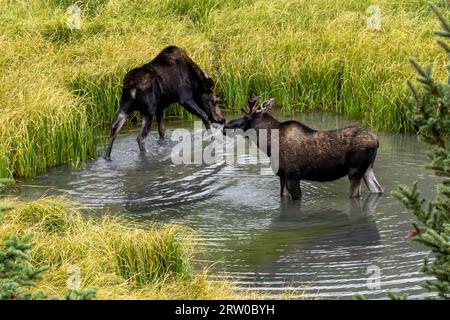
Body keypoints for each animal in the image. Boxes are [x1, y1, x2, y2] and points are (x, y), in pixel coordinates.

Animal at [221, 95, 384, 200]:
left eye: (246, 118)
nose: (225, 127)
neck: (267, 145)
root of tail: (377, 140)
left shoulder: (293, 176)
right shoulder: (282, 176)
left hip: (355, 171)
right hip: (368, 170)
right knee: (378, 190)